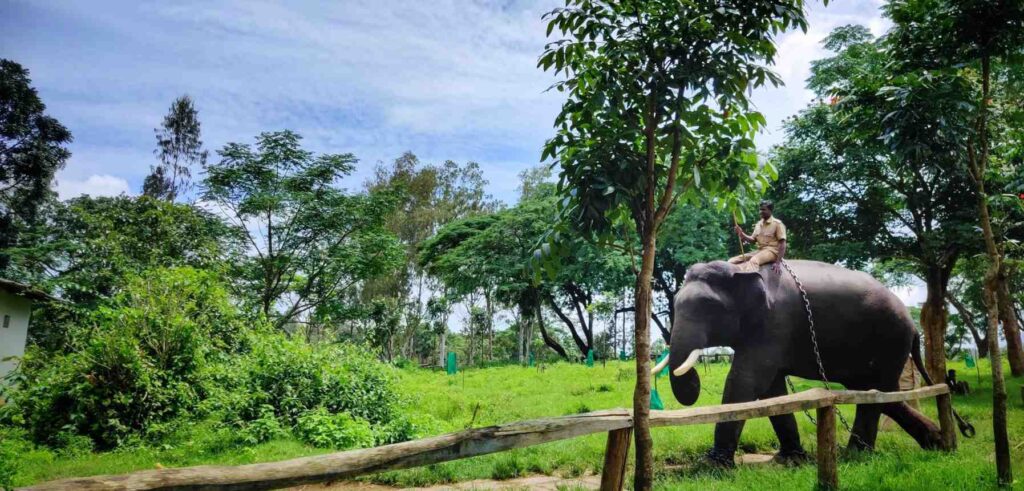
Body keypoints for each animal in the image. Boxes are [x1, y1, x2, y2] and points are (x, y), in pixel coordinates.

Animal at [651, 259, 946, 467]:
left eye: (710, 307)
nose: (694, 381)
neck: (741, 268)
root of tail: (914, 328)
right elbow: (771, 390)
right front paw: (790, 459)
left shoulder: (775, 323)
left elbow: (745, 381)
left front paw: (712, 466)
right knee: (880, 395)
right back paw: (937, 442)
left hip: (890, 340)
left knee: (876, 393)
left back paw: (856, 456)